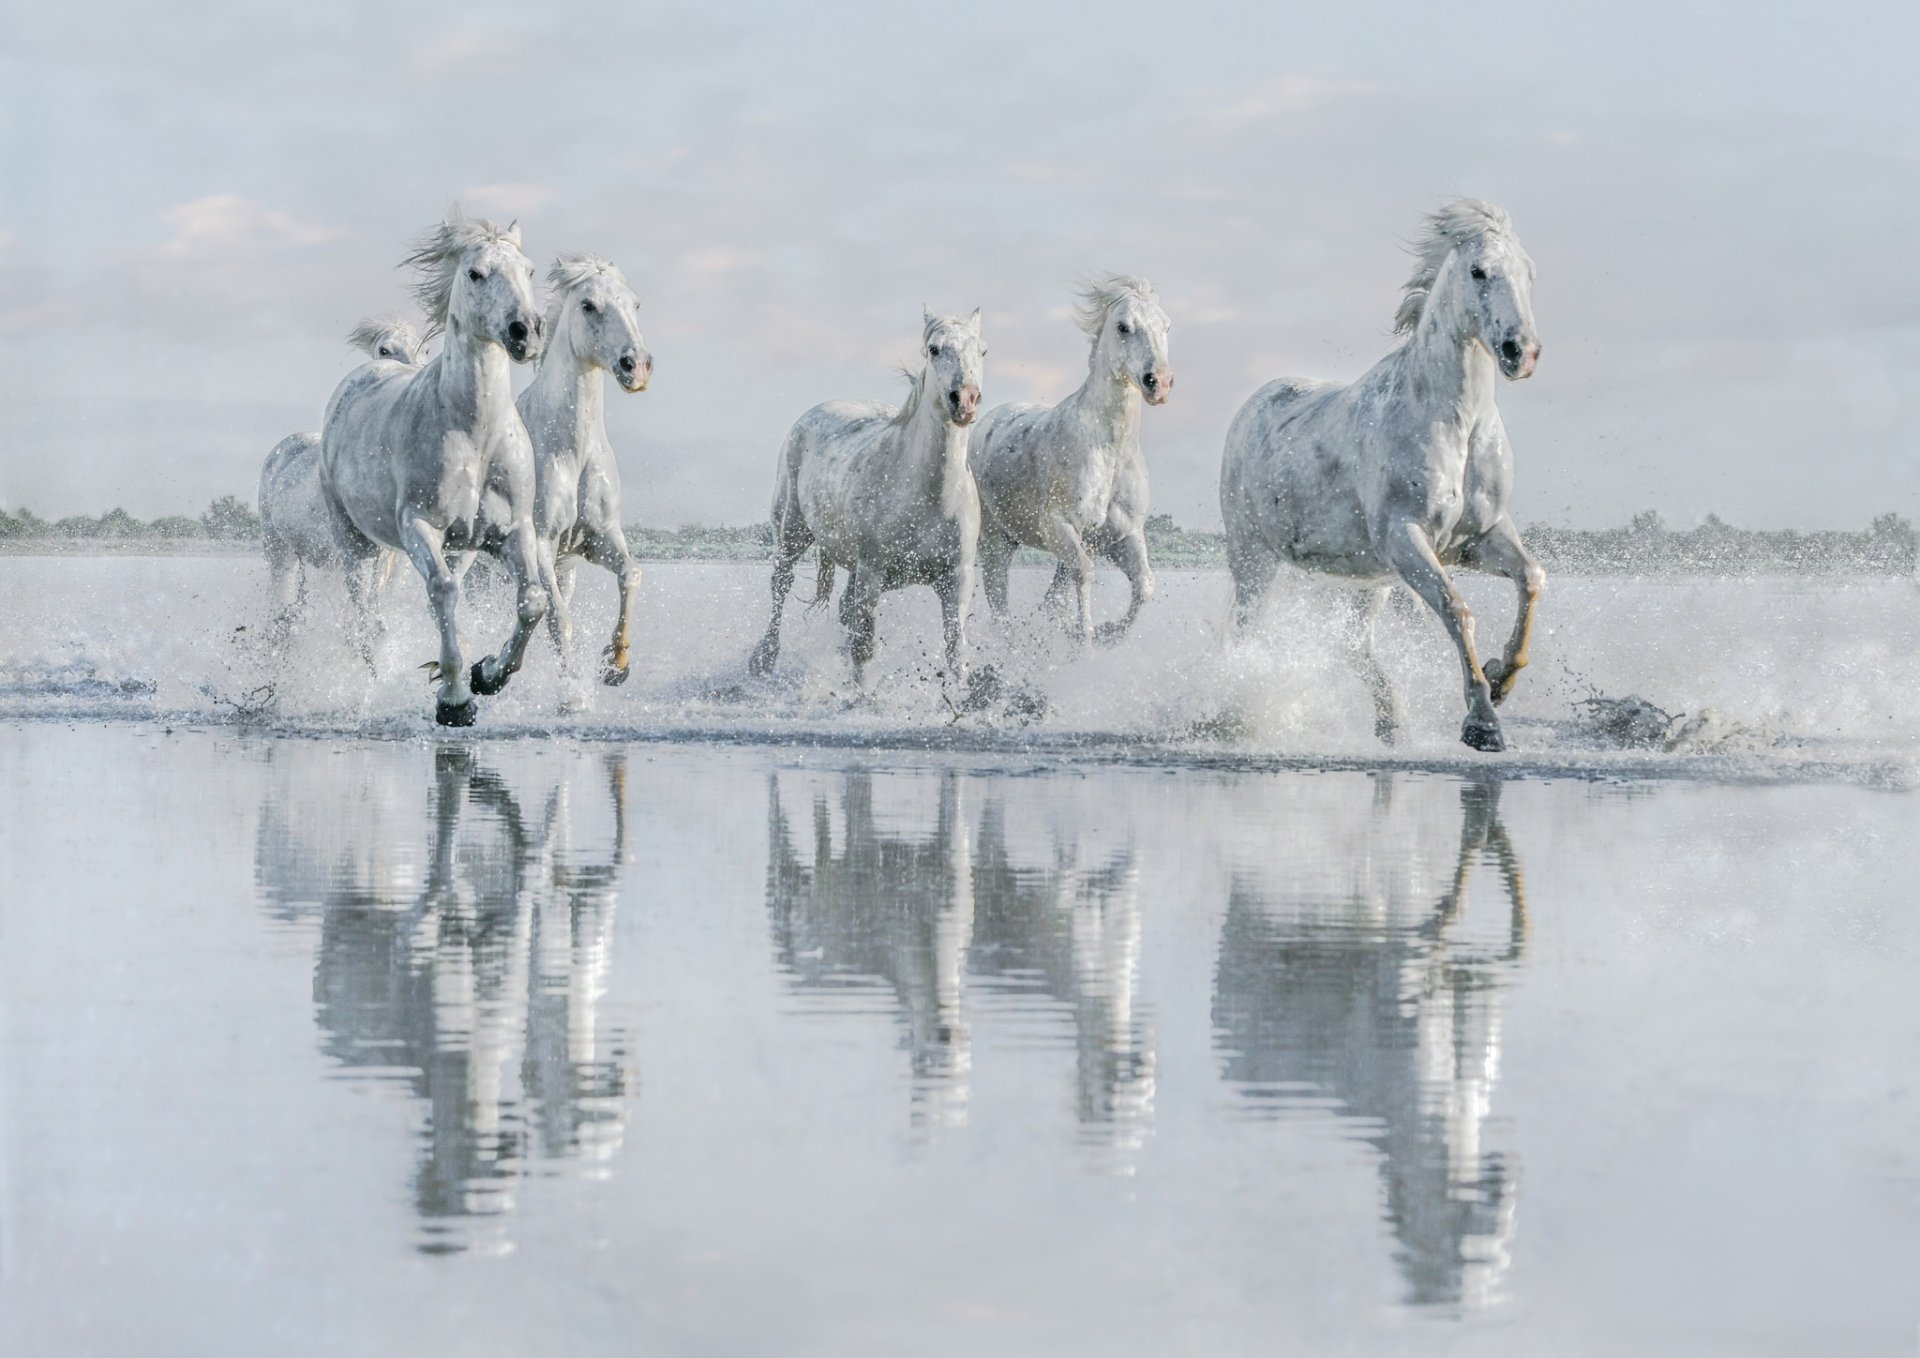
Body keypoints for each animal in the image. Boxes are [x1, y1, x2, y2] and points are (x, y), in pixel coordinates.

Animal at [320, 209, 549, 727]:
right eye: (476, 273)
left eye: (529, 271)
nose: (525, 332)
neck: (476, 434)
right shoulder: (418, 526)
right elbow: (442, 591)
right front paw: (455, 702)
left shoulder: (513, 531)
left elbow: (531, 601)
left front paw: (487, 675)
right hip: (355, 544)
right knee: (367, 617)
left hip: (460, 548)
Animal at [515, 254, 652, 686]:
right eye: (589, 305)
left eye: (635, 303)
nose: (636, 367)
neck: (571, 453)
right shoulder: (540, 544)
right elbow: (560, 620)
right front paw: (572, 691)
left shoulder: (598, 538)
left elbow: (630, 574)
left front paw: (616, 663)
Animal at [749, 307, 986, 692]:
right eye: (934, 349)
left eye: (982, 351)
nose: (964, 400)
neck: (929, 496)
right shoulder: (872, 573)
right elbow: (864, 647)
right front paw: (861, 695)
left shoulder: (957, 579)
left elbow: (955, 650)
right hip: (791, 534)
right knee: (780, 587)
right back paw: (763, 659)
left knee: (843, 608)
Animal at [971, 276, 1173, 646]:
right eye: (1124, 327)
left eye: (1166, 326)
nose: (1159, 383)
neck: (1109, 454)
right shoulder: (1058, 527)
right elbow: (1085, 575)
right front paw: (1085, 639)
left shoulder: (1123, 536)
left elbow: (1144, 586)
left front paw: (1108, 634)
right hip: (995, 542)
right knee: (999, 603)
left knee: (1052, 593)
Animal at [1219, 199, 1544, 752]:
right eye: (1479, 271)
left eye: (1529, 272)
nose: (1520, 351)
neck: (1457, 425)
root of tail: (1249, 409)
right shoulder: (1407, 537)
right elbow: (1457, 610)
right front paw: (1482, 724)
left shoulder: (1480, 538)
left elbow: (1531, 578)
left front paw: (1502, 680)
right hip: (1255, 560)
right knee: (1245, 633)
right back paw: (1229, 712)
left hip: (1368, 580)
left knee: (1351, 646)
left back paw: (1391, 723)